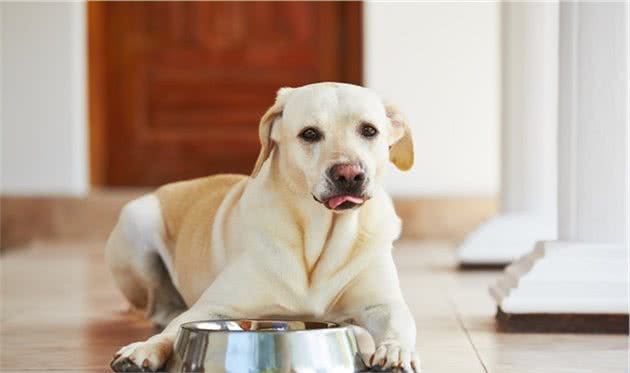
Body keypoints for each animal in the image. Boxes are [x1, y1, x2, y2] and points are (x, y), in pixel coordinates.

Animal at [106, 83, 422, 370]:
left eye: (369, 130)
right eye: (309, 134)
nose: (349, 174)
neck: (320, 237)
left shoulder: (383, 305)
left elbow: (398, 325)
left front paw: (395, 351)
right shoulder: (213, 307)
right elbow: (174, 330)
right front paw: (144, 348)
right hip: (137, 221)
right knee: (158, 308)